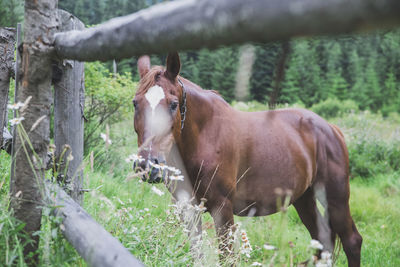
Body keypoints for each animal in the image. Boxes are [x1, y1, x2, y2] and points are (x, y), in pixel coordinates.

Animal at [132, 52, 362, 267]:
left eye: (173, 104)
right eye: (135, 103)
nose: (148, 166)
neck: (205, 136)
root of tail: (331, 128)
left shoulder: (222, 209)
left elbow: (227, 257)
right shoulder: (188, 209)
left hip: (336, 199)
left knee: (352, 241)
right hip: (304, 199)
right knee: (322, 243)